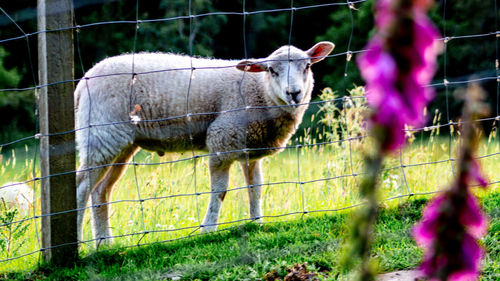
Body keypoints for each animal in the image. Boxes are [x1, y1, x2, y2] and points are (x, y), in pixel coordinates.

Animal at [76, 41, 334, 243]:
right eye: (271, 70)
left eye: (307, 66)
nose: (294, 93)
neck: (259, 91)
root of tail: (83, 82)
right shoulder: (222, 140)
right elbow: (220, 191)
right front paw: (208, 229)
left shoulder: (250, 148)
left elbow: (256, 188)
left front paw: (257, 222)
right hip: (101, 134)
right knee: (82, 188)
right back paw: (79, 242)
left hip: (120, 142)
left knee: (100, 191)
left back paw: (104, 242)